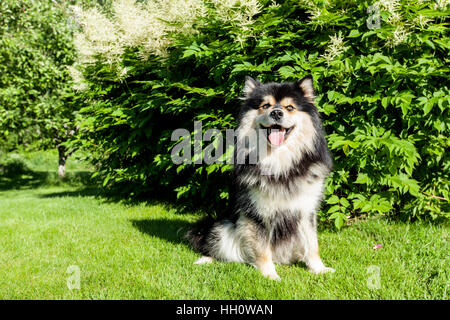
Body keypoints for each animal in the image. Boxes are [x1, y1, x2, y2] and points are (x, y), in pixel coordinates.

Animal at [186, 75, 334, 280]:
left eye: (290, 107)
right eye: (265, 105)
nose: (277, 113)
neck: (280, 161)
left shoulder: (306, 210)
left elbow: (312, 245)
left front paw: (319, 269)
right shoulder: (257, 214)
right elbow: (263, 250)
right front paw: (270, 275)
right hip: (222, 228)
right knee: (218, 248)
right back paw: (206, 259)